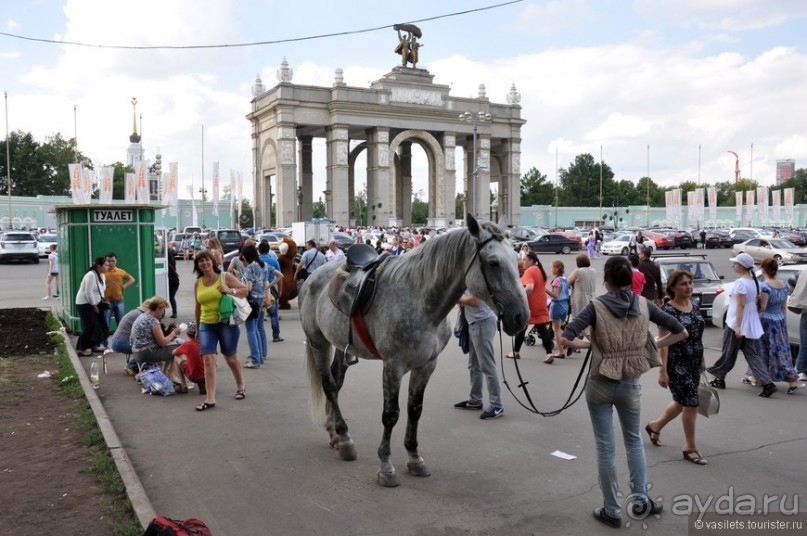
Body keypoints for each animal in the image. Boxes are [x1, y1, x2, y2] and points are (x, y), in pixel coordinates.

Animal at [300, 214, 528, 486]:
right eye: (493, 263)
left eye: (516, 258)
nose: (521, 316)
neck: (420, 300)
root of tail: (314, 275)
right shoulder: (393, 366)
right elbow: (391, 414)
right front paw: (386, 466)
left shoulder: (426, 365)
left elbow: (414, 410)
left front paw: (414, 457)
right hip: (318, 343)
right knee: (329, 386)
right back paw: (345, 440)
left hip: (339, 346)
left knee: (337, 382)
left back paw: (335, 432)